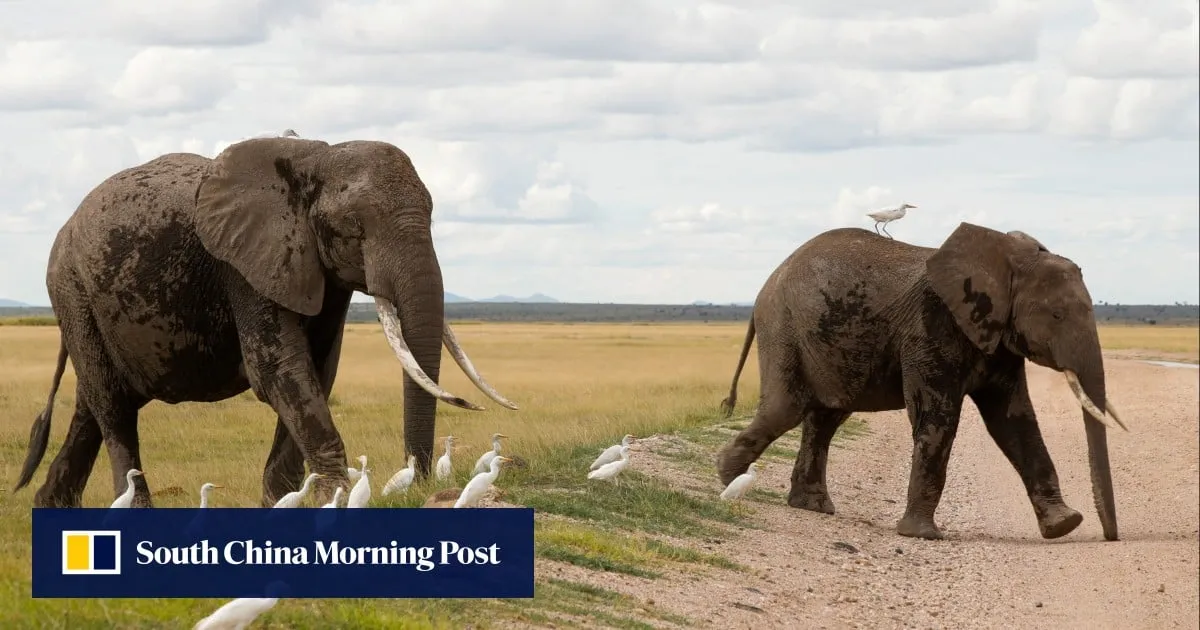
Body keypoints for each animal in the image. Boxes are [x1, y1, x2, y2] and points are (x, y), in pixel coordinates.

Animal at [12, 136, 519, 509]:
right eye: (354, 226)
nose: (420, 481)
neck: (314, 158)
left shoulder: (317, 269)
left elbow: (318, 369)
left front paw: (282, 504)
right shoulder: (244, 266)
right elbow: (278, 370)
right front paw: (331, 497)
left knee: (93, 404)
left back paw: (49, 506)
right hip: (70, 288)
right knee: (112, 405)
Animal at [715, 222, 1129, 542]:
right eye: (1057, 315)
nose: (1111, 537)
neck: (1004, 259)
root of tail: (766, 284)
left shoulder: (997, 337)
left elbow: (1014, 421)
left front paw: (1064, 525)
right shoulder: (931, 326)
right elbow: (937, 418)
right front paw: (923, 535)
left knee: (825, 418)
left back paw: (812, 506)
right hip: (783, 327)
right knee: (786, 408)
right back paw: (729, 477)